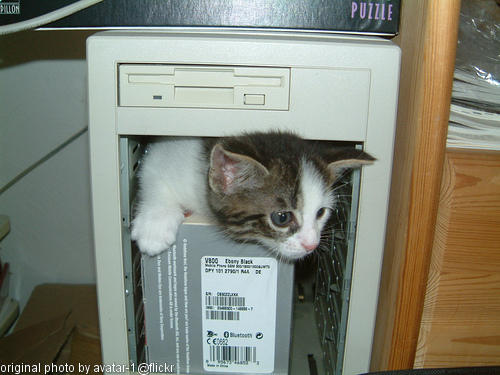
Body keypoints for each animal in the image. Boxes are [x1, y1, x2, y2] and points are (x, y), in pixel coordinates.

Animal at [131, 133, 374, 262]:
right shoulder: (163, 154)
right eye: (282, 218)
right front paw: (154, 226)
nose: (311, 245)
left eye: (321, 212)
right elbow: (150, 176)